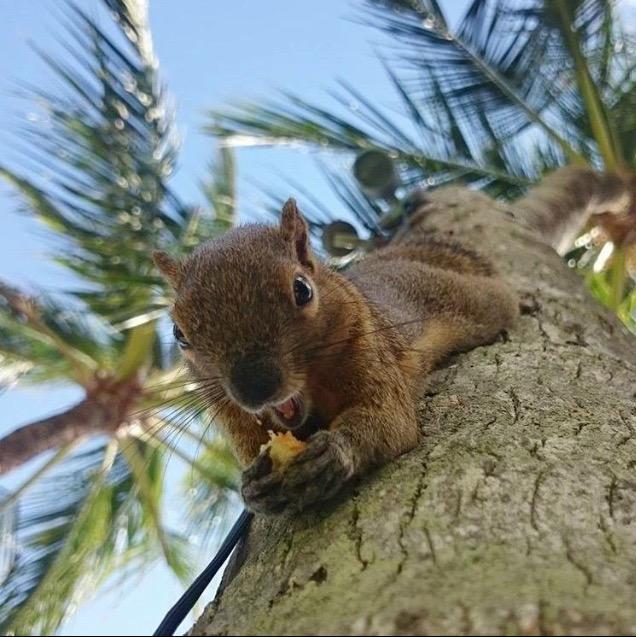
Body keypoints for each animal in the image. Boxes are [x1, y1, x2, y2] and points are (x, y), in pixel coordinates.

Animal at [153, 166, 632, 516]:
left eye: (302, 290)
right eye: (179, 333)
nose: (255, 387)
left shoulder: (370, 352)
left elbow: (391, 421)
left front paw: (336, 451)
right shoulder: (229, 410)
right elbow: (253, 449)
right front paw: (252, 487)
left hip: (473, 301)